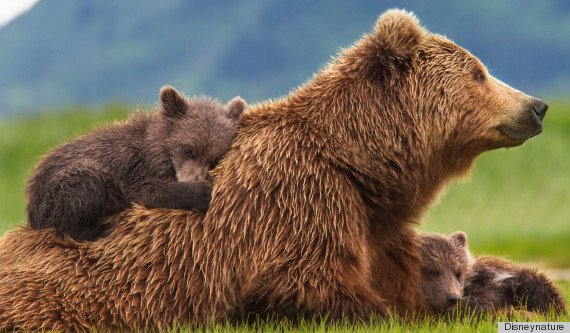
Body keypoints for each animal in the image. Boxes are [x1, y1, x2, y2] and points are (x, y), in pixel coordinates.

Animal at [0, 7, 544, 330]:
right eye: (479, 72)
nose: (536, 106)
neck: (358, 163)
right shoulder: (297, 201)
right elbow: (312, 285)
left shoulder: (371, 225)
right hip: (61, 297)